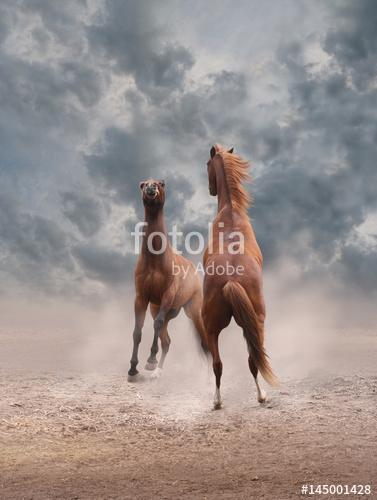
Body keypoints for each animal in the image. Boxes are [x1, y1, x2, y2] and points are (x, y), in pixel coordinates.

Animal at [128, 178, 207, 380]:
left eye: (160, 184)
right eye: (143, 184)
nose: (151, 188)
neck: (155, 261)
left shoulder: (167, 294)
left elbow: (156, 325)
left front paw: (150, 361)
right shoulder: (141, 298)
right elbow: (137, 331)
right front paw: (133, 369)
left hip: (193, 309)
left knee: (204, 340)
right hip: (167, 310)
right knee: (167, 341)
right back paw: (158, 372)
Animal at [203, 145, 276, 410]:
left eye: (207, 164)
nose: (211, 188)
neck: (231, 211)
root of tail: (232, 280)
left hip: (212, 327)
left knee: (219, 364)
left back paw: (218, 400)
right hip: (256, 322)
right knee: (251, 360)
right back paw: (260, 396)